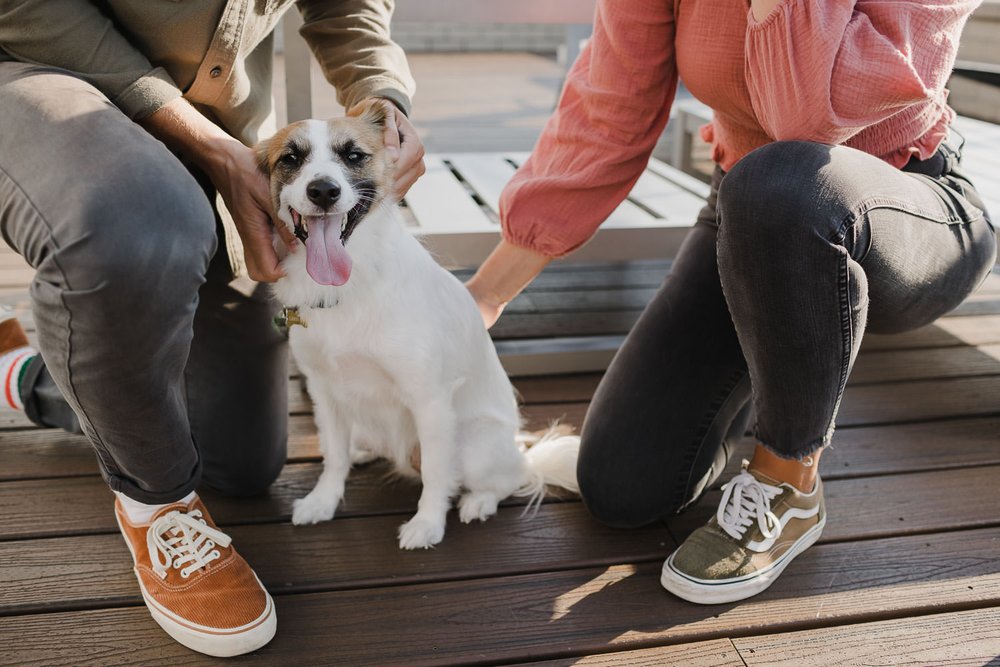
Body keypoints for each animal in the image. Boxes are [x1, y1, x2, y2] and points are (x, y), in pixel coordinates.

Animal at [254, 104, 580, 552]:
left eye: (353, 155)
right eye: (290, 158)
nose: (323, 191)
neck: (353, 282)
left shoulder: (429, 399)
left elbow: (436, 476)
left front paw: (427, 525)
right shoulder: (324, 391)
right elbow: (333, 455)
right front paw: (323, 501)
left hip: (474, 446)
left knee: (508, 477)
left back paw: (479, 502)